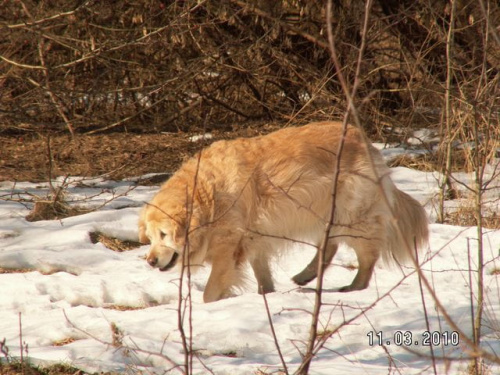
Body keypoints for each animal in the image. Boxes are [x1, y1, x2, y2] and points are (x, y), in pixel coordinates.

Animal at [139, 122, 428, 304]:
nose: (150, 261)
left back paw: (355, 287)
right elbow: (262, 275)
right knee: (330, 245)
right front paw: (265, 295)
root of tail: (364, 138)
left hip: (352, 216)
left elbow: (210, 292)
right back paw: (306, 274)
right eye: (150, 238)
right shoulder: (254, 239)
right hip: (326, 211)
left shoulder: (227, 248)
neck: (208, 193)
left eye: (164, 235)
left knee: (366, 255)